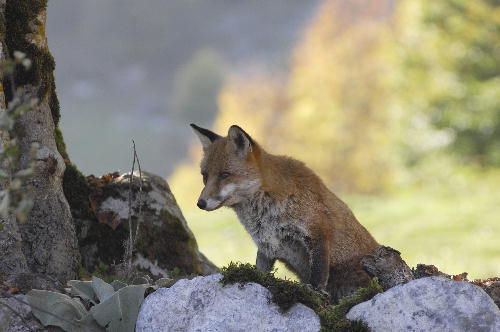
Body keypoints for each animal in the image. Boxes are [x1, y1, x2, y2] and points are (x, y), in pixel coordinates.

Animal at [191, 123, 378, 300]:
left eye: (224, 175)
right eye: (205, 176)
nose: (200, 203)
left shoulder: (317, 232)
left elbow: (317, 279)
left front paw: (314, 295)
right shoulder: (266, 245)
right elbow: (259, 273)